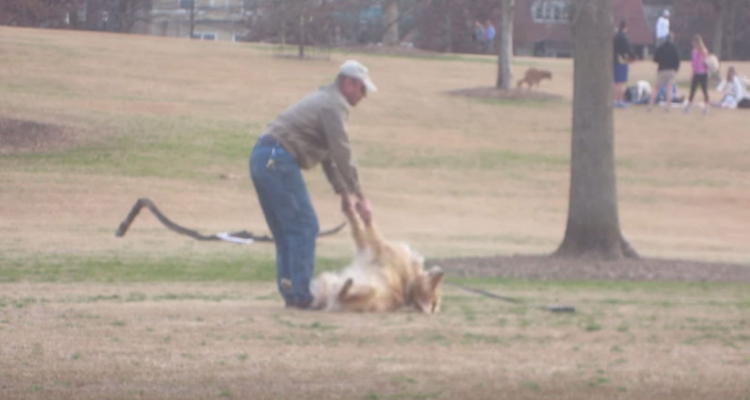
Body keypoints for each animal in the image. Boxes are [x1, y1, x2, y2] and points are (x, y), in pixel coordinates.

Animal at [282, 208, 446, 314]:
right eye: (435, 288)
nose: (442, 273)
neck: (408, 284)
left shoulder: (376, 248)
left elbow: (362, 226)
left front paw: (353, 210)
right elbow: (360, 228)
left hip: (367, 290)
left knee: (340, 293)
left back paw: (346, 285)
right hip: (328, 282)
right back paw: (287, 283)